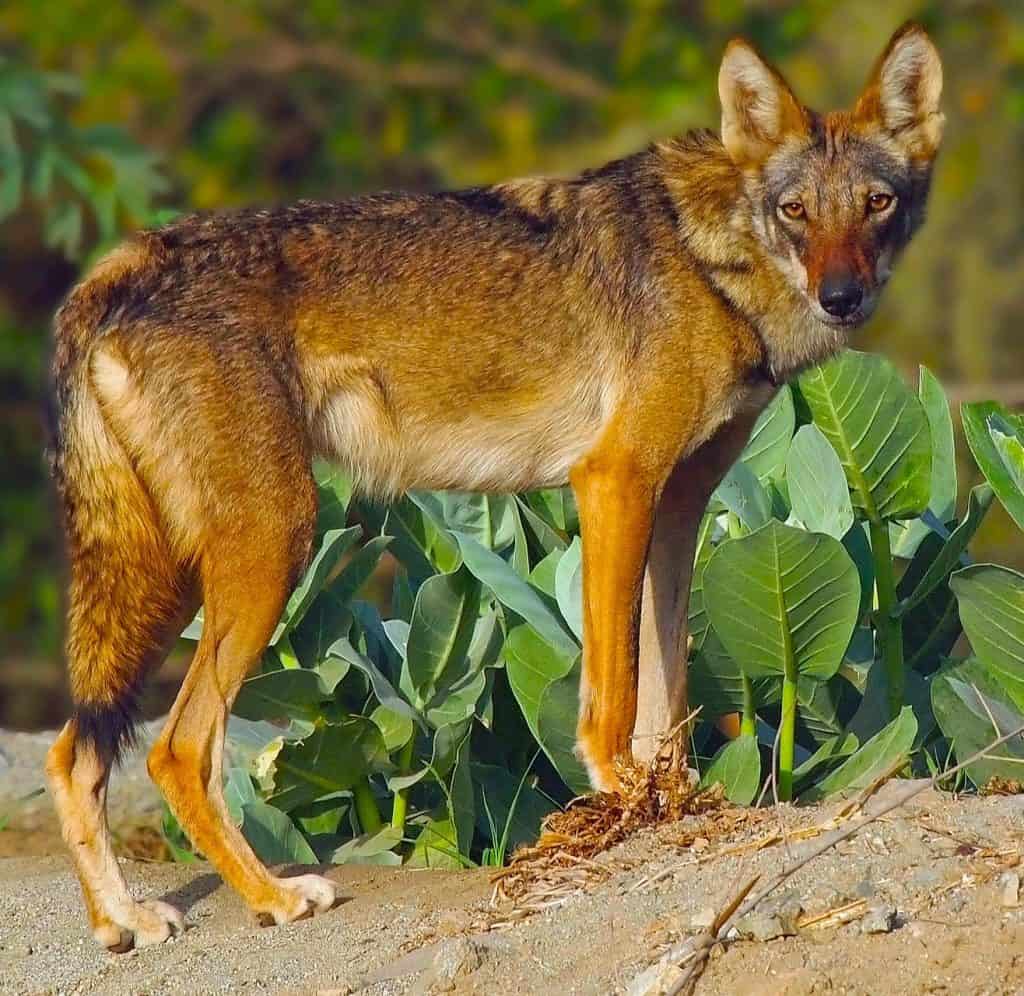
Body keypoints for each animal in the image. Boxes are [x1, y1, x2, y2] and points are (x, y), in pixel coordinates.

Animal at [48, 23, 942, 949]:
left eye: (876, 203)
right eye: (796, 211)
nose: (842, 297)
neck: (710, 259)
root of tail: (113, 268)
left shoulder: (679, 508)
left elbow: (666, 695)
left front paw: (675, 802)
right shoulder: (614, 480)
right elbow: (613, 696)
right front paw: (623, 797)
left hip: (168, 579)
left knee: (72, 755)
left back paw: (123, 920)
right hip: (267, 549)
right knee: (175, 750)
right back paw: (273, 896)